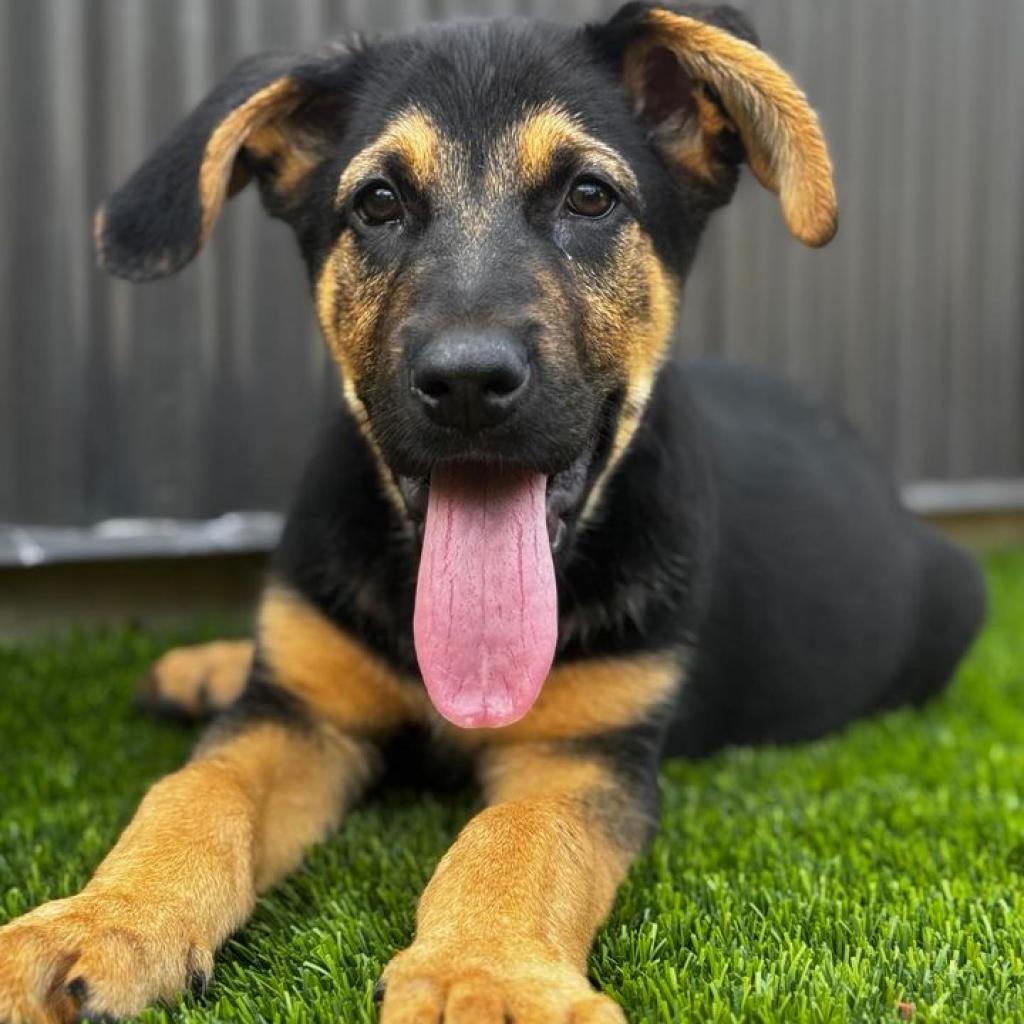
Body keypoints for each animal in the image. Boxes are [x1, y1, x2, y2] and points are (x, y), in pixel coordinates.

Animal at [0, 4, 983, 1019]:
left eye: (589, 197)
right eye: (378, 204)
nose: (467, 382)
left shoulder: (588, 749)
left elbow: (521, 831)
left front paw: (486, 974)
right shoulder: (296, 716)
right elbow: (196, 790)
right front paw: (104, 920)